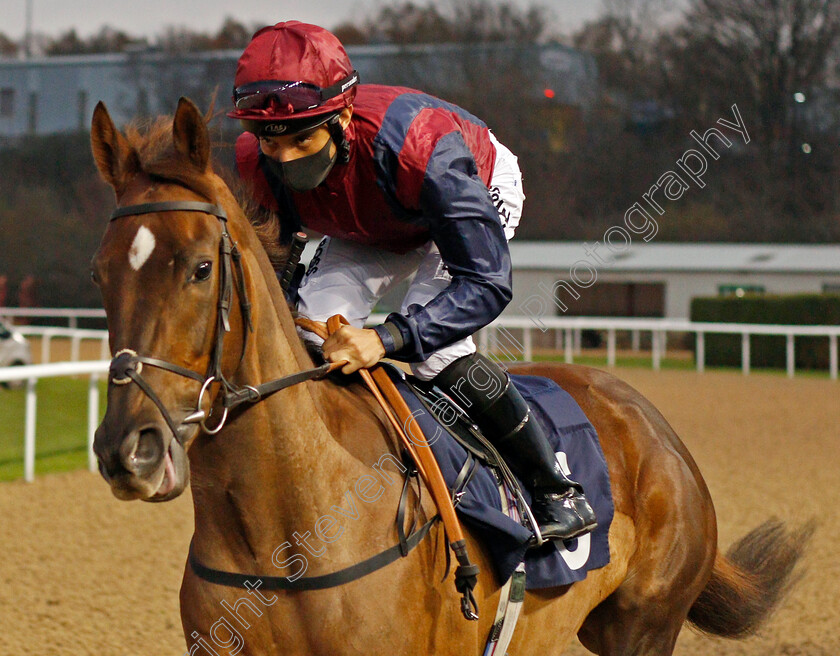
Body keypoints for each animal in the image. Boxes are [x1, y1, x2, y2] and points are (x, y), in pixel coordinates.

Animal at [90, 98, 808, 656]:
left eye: (201, 268)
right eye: (102, 272)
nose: (129, 449)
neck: (282, 532)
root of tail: (653, 422)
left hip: (644, 627)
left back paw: (563, 505)